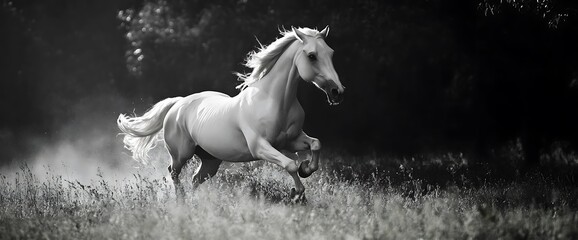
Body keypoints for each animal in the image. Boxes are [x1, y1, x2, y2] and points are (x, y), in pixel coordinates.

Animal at [116, 26, 342, 202]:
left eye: (331, 53)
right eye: (312, 56)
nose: (337, 91)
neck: (274, 100)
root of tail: (178, 104)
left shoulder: (290, 140)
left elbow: (315, 144)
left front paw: (306, 169)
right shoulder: (261, 147)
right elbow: (290, 164)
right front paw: (297, 192)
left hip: (211, 161)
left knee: (195, 179)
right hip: (181, 154)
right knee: (173, 172)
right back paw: (180, 201)